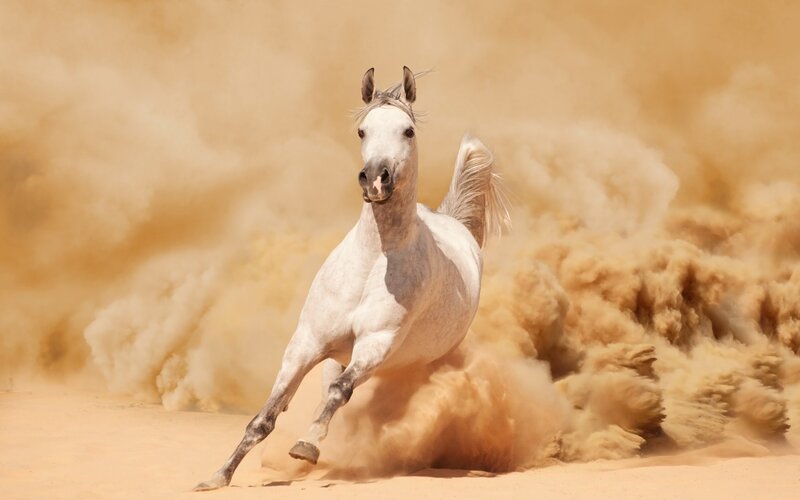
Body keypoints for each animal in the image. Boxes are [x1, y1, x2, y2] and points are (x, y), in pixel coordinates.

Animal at [194, 66, 508, 491]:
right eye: (362, 130)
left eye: (408, 130)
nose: (376, 178)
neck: (372, 264)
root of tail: (454, 223)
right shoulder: (306, 343)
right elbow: (266, 416)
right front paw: (218, 476)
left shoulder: (375, 344)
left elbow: (339, 392)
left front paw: (304, 447)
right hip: (337, 354)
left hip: (415, 361)